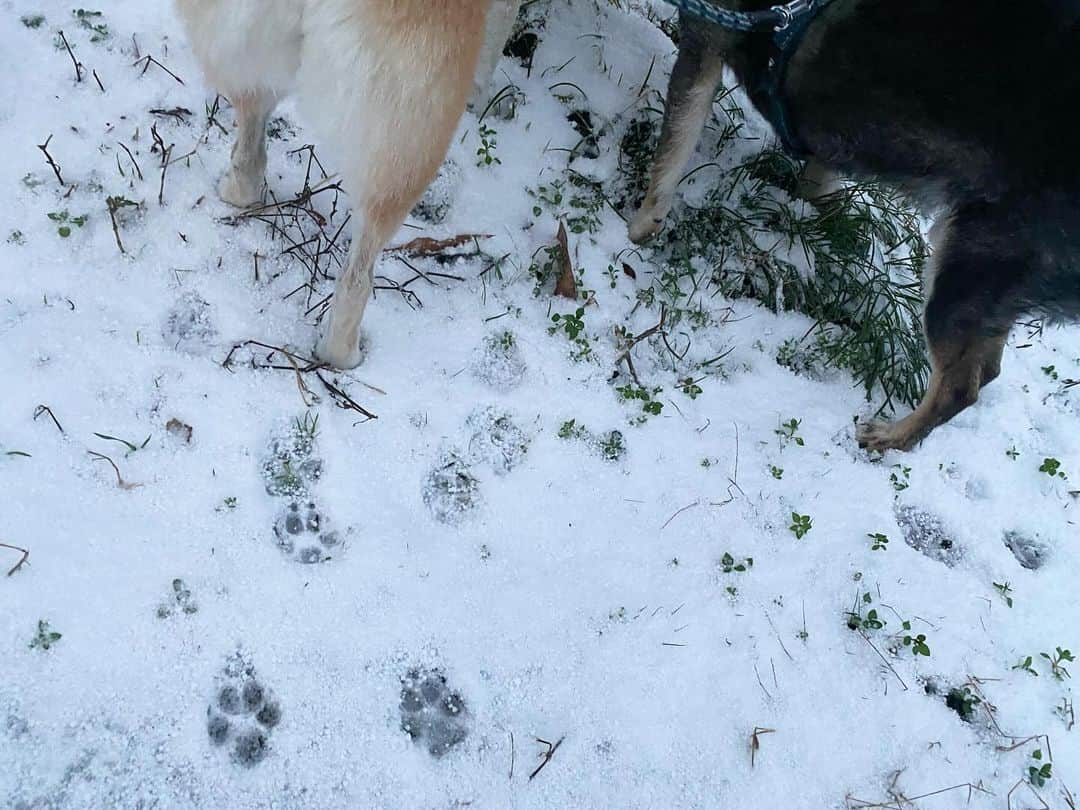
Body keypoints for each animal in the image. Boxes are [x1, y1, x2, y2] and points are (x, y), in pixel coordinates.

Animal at [176, 0, 522, 367]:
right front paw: (486, 103)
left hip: (250, 60)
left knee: (249, 149)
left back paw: (235, 189)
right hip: (407, 133)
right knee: (356, 278)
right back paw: (343, 353)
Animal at [630, 0, 1080, 453]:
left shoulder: (705, 45)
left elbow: (673, 149)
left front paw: (640, 225)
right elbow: (817, 177)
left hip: (966, 266)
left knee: (959, 387)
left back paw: (891, 438)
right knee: (985, 368)